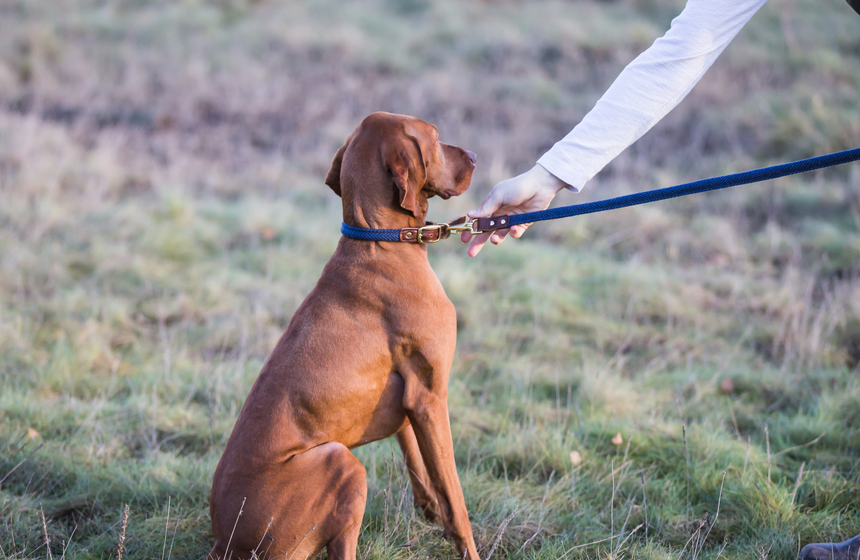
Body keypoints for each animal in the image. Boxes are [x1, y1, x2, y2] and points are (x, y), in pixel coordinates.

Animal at [206, 112, 480, 560]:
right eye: (436, 137)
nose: (474, 155)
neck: (381, 241)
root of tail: (224, 541)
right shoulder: (430, 398)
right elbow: (455, 500)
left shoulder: (410, 401)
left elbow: (420, 467)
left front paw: (429, 511)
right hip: (340, 461)